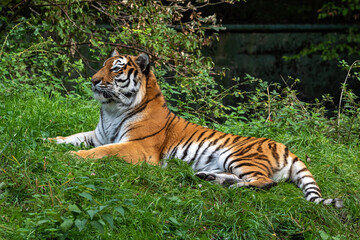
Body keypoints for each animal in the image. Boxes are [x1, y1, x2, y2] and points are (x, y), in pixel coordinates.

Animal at [48, 50, 344, 208]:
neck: (111, 110)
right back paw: (209, 178)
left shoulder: (138, 147)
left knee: (264, 182)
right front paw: (50, 140)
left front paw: (72, 157)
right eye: (103, 66)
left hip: (238, 155)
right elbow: (74, 136)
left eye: (117, 69)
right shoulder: (97, 135)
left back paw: (229, 187)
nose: (93, 80)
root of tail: (286, 148)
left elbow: (105, 152)